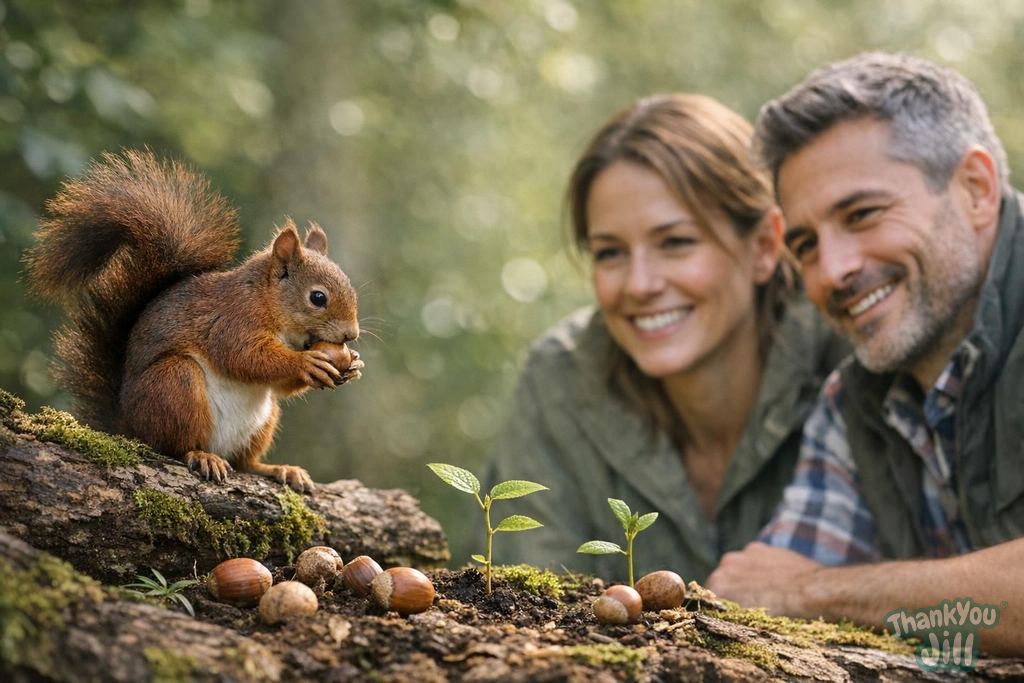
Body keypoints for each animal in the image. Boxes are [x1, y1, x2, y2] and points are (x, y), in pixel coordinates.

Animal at [24, 149, 364, 493]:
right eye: (318, 297)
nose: (351, 335)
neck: (268, 303)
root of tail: (129, 426)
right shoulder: (233, 320)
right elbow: (245, 357)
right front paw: (307, 362)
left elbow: (278, 385)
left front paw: (353, 364)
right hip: (174, 385)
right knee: (174, 446)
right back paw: (201, 455)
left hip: (263, 421)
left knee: (246, 462)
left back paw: (278, 468)